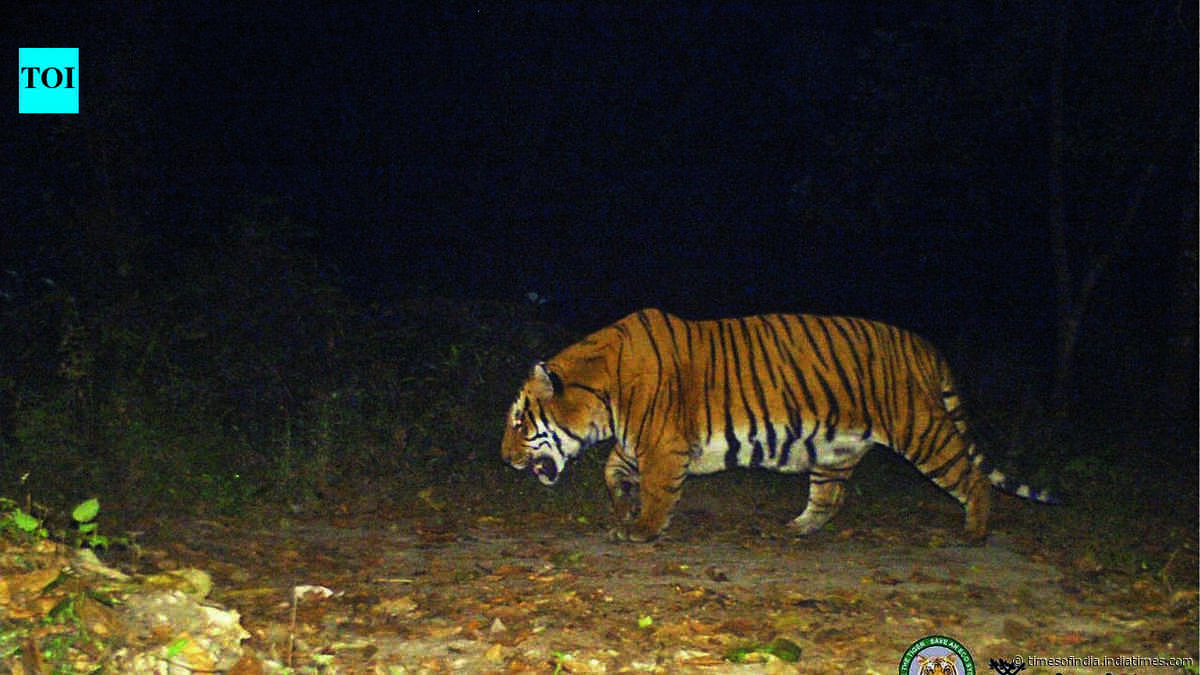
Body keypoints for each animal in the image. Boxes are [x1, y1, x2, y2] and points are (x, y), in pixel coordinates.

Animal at [501, 308, 1055, 543]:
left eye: (519, 420)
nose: (505, 459)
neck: (601, 395)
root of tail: (923, 344)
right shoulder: (641, 442)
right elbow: (613, 470)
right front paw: (621, 505)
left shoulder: (662, 445)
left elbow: (658, 493)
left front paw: (641, 530)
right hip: (835, 449)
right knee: (828, 497)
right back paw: (796, 528)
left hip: (921, 430)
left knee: (972, 478)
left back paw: (975, 532)